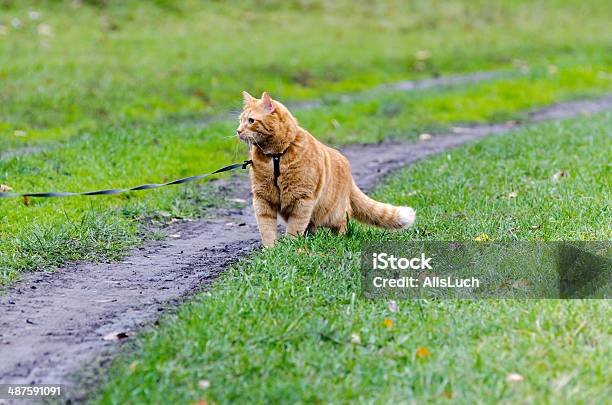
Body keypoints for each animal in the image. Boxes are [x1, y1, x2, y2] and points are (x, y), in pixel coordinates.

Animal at [237, 91, 414, 246]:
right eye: (240, 120)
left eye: (251, 121)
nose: (238, 131)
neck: (276, 156)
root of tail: (349, 171)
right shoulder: (262, 198)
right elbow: (266, 227)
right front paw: (271, 249)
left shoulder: (302, 198)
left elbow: (295, 226)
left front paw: (290, 246)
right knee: (312, 227)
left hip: (335, 213)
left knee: (343, 222)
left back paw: (339, 237)